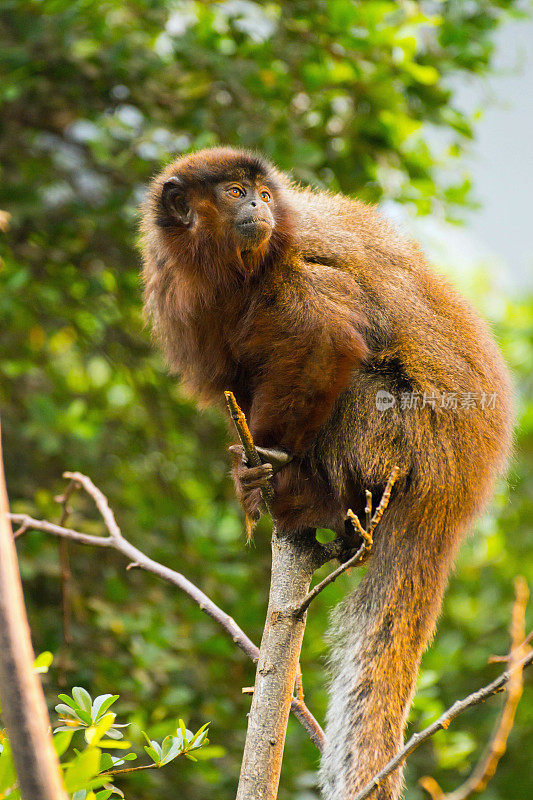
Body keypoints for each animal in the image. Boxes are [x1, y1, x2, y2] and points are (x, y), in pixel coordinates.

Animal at [139, 147, 512, 796]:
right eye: (235, 192)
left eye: (261, 194)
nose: (258, 206)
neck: (232, 271)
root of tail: (461, 486)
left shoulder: (293, 270)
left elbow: (326, 338)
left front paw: (259, 474)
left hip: (403, 440)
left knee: (359, 376)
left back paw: (309, 500)